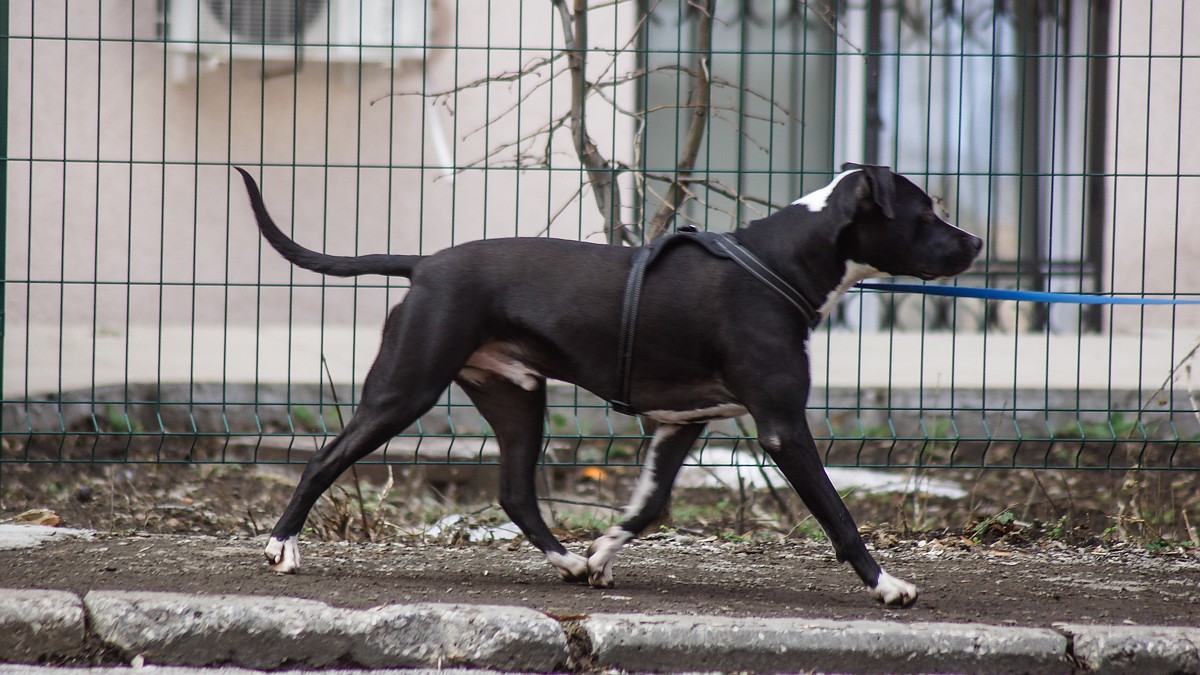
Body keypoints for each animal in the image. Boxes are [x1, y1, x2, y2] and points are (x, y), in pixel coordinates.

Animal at [238, 162, 979, 605]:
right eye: (925, 212)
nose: (973, 244)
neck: (779, 264)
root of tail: (423, 263)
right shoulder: (781, 426)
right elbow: (838, 514)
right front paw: (887, 584)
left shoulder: (682, 424)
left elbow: (647, 508)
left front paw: (597, 555)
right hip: (405, 390)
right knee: (325, 457)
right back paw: (282, 544)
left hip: (517, 398)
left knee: (516, 494)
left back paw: (566, 562)